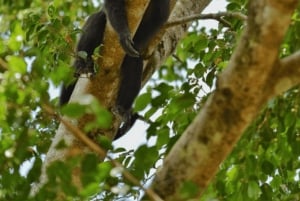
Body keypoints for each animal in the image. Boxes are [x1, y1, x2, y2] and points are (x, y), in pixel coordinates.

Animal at [59, 0, 170, 138]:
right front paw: (124, 34)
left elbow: (160, 14)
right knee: (98, 18)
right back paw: (82, 64)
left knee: (133, 61)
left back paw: (123, 109)